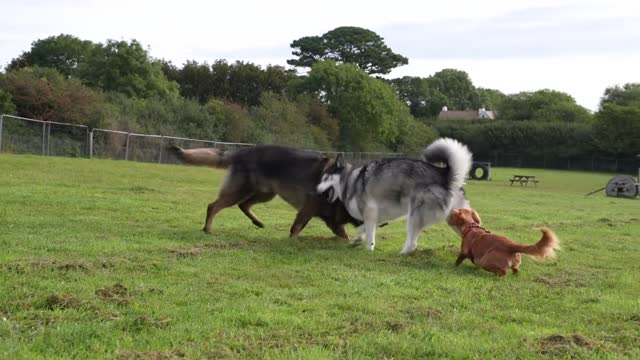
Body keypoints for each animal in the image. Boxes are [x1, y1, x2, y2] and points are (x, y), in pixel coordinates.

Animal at [318, 138, 472, 253]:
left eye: (324, 178)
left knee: (412, 244)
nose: (317, 190)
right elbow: (364, 229)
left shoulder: (370, 211)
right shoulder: (379, 216)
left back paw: (402, 253)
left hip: (414, 215)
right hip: (455, 218)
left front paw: (369, 248)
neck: (351, 180)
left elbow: (369, 233)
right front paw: (357, 240)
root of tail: (444, 174)